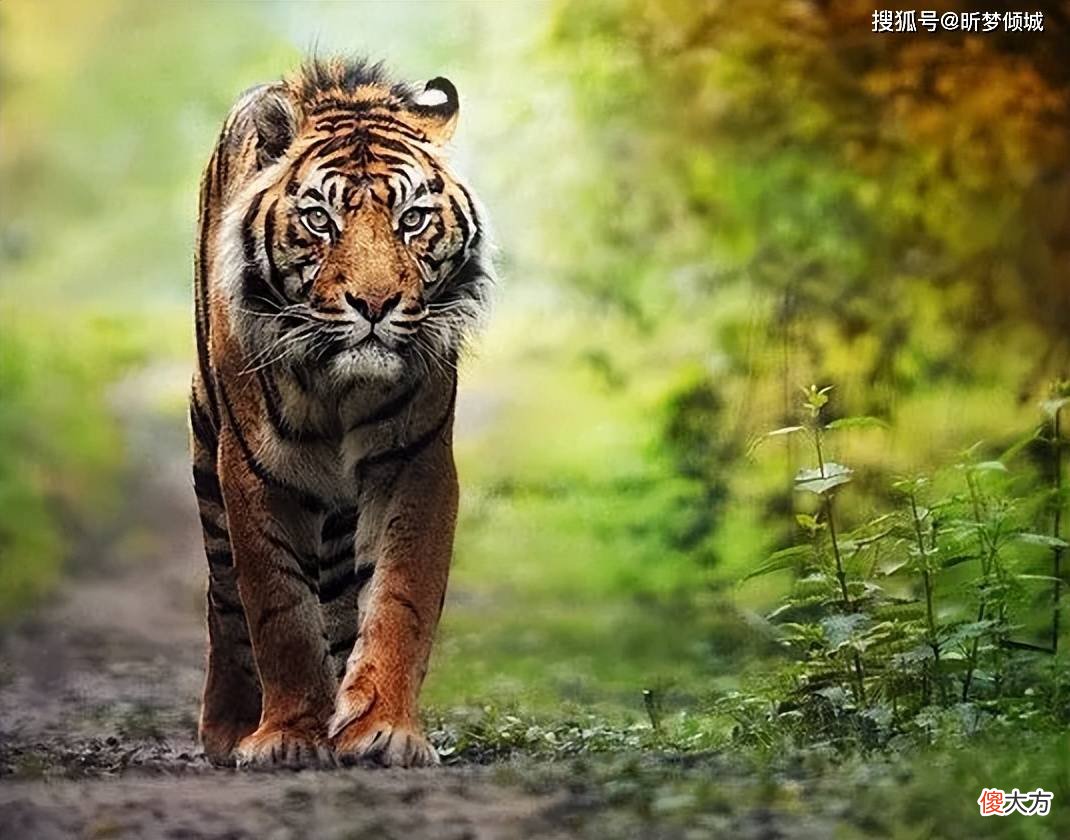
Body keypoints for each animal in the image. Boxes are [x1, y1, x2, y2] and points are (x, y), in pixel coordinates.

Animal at [189, 58, 490, 769]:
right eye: (320, 220)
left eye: (413, 218)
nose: (375, 304)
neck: (338, 388)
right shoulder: (254, 471)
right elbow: (279, 612)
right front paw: (288, 737)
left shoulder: (415, 465)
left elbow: (399, 600)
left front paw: (382, 727)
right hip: (207, 459)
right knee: (224, 599)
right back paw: (228, 726)